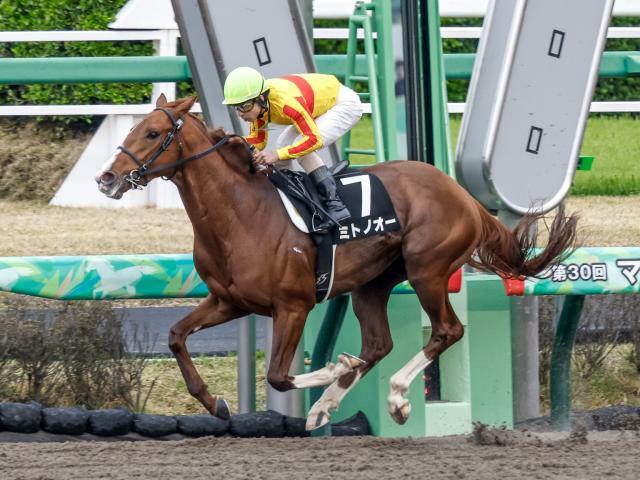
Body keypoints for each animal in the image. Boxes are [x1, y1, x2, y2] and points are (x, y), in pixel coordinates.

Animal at [96, 95, 580, 430]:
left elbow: (279, 376)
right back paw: (330, 405)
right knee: (378, 344)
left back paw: (396, 397)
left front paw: (333, 367)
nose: (107, 178)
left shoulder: (293, 306)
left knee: (447, 330)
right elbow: (177, 336)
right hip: (373, 283)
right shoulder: (228, 300)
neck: (241, 214)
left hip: (428, 269)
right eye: (136, 128)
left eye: (153, 133)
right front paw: (215, 402)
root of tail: (462, 194)